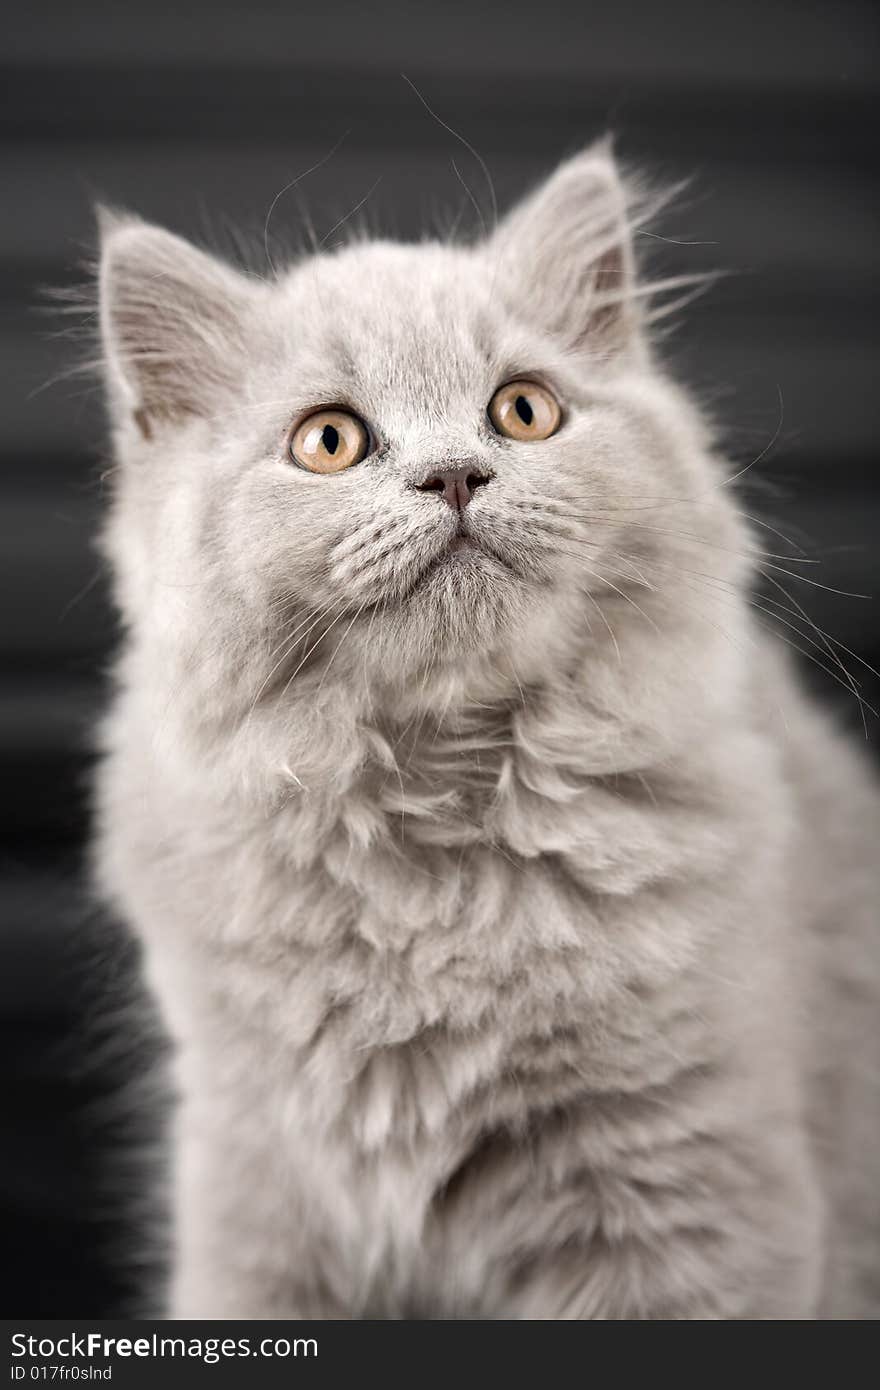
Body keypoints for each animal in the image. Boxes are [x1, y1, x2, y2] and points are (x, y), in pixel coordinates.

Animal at [92, 146, 873, 1317]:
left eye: (523, 410)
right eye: (330, 440)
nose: (455, 473)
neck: (441, 831)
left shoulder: (685, 1180)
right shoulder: (259, 1194)